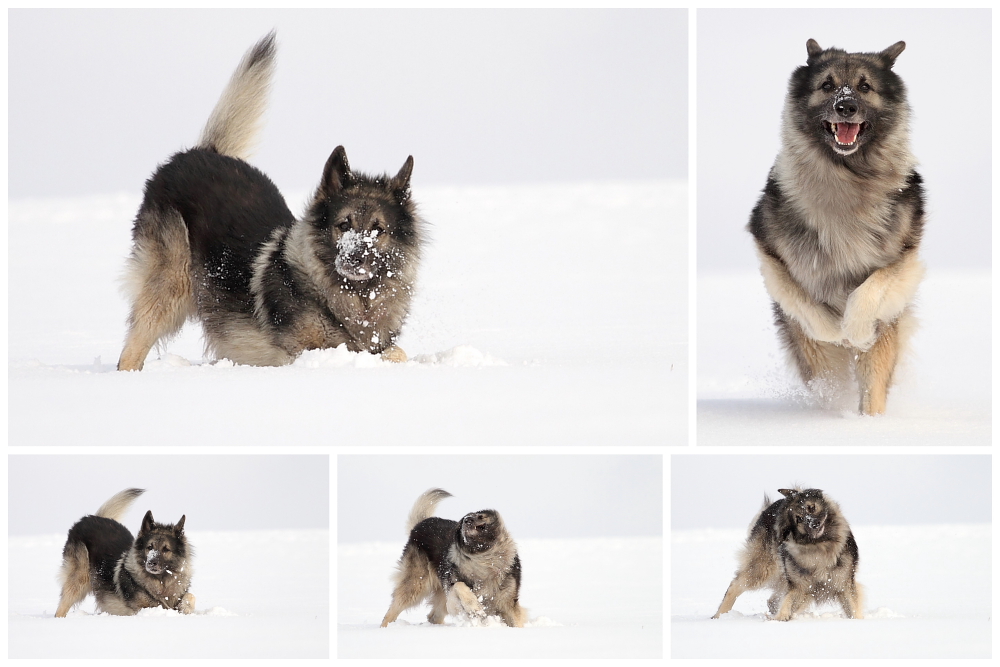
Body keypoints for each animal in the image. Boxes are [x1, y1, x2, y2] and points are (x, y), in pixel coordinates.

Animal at [55, 488, 195, 620]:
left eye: (166, 549)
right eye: (149, 547)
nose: (151, 563)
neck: (161, 581)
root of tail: (89, 518)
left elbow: (191, 596)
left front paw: (186, 608)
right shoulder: (140, 609)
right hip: (80, 579)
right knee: (61, 608)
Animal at [117, 31, 422, 370]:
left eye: (378, 230)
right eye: (344, 225)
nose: (354, 258)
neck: (344, 296)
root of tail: (197, 153)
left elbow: (397, 352)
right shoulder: (301, 354)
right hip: (171, 283)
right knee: (131, 347)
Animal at [378, 488, 528, 628]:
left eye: (480, 516)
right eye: (464, 520)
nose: (467, 520)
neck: (484, 559)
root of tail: (420, 524)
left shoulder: (508, 604)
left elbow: (515, 621)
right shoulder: (452, 592)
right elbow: (460, 586)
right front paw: (475, 607)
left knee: (433, 616)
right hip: (416, 585)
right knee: (393, 610)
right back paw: (384, 628)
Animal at [712, 486, 860, 620]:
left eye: (811, 507)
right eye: (799, 519)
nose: (814, 524)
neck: (820, 545)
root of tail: (766, 509)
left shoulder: (844, 585)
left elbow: (853, 608)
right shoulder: (799, 586)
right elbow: (787, 602)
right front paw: (780, 618)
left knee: (772, 601)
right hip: (764, 568)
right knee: (736, 585)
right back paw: (719, 616)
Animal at [752, 39, 920, 414]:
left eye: (865, 86)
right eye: (827, 85)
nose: (846, 106)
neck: (847, 177)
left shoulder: (904, 259)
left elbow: (871, 288)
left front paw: (855, 329)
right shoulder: (770, 252)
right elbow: (802, 301)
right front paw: (834, 329)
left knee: (872, 383)